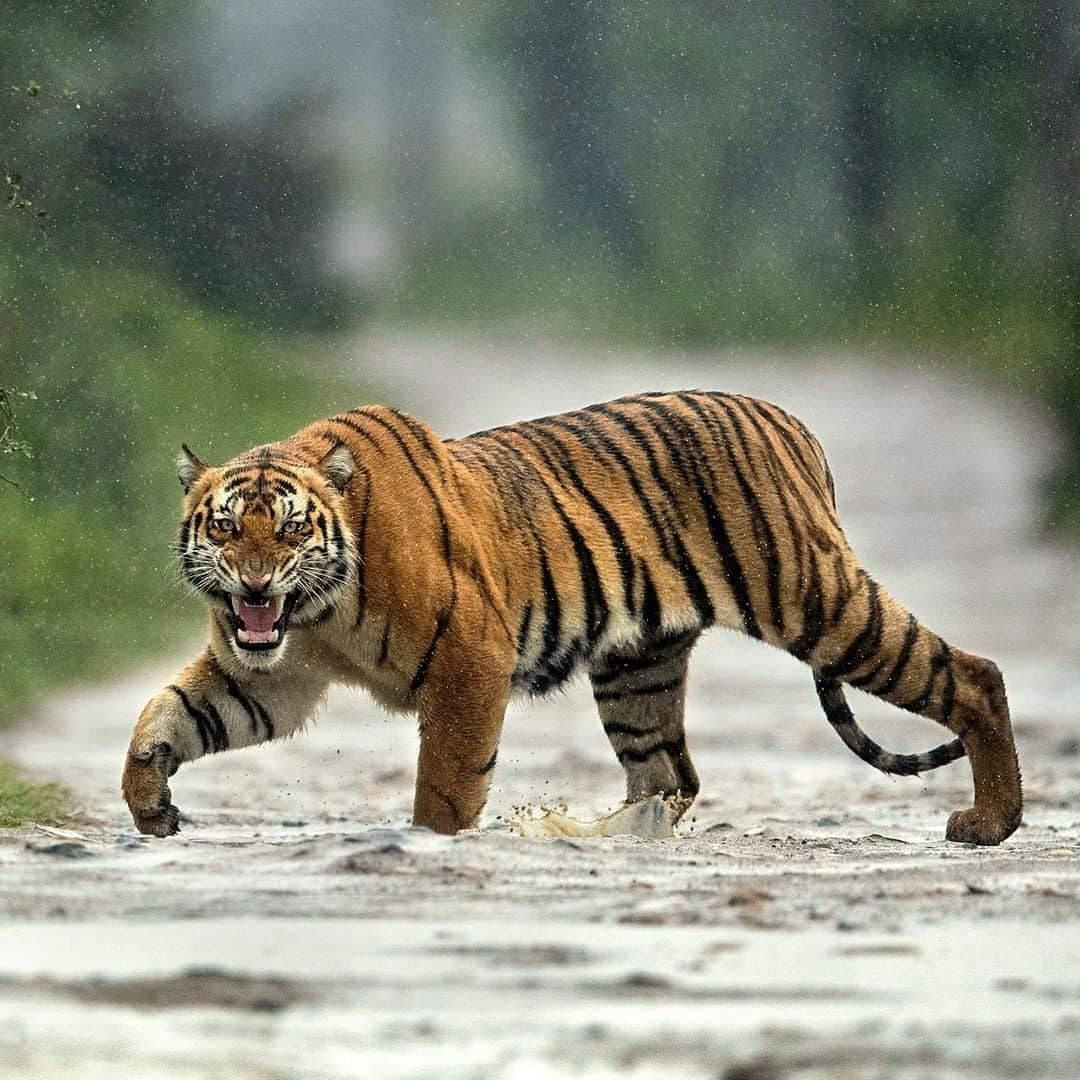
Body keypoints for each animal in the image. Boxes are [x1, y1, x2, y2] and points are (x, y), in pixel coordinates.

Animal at [122, 393, 1023, 846]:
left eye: (289, 529)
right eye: (226, 527)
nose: (254, 582)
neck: (317, 612)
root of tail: (791, 422)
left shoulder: (469, 660)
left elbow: (445, 785)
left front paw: (432, 846)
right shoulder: (269, 675)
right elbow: (165, 714)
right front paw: (150, 806)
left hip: (817, 601)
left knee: (971, 673)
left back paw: (991, 823)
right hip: (638, 666)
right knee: (669, 775)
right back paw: (603, 834)